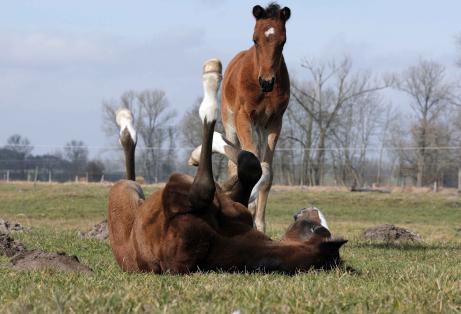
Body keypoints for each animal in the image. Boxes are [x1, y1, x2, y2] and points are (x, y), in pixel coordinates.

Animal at [108, 59, 344, 274]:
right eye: (319, 228)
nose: (309, 209)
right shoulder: (238, 207)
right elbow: (251, 165)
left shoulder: (181, 199)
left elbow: (215, 178)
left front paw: (211, 79)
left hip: (125, 191)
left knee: (132, 174)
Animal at [221, 3, 290, 231]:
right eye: (255, 39)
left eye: (283, 41)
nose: (267, 82)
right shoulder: (243, 118)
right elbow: (249, 162)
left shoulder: (275, 122)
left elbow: (267, 171)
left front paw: (259, 223)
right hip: (230, 124)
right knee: (232, 164)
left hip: (259, 128)